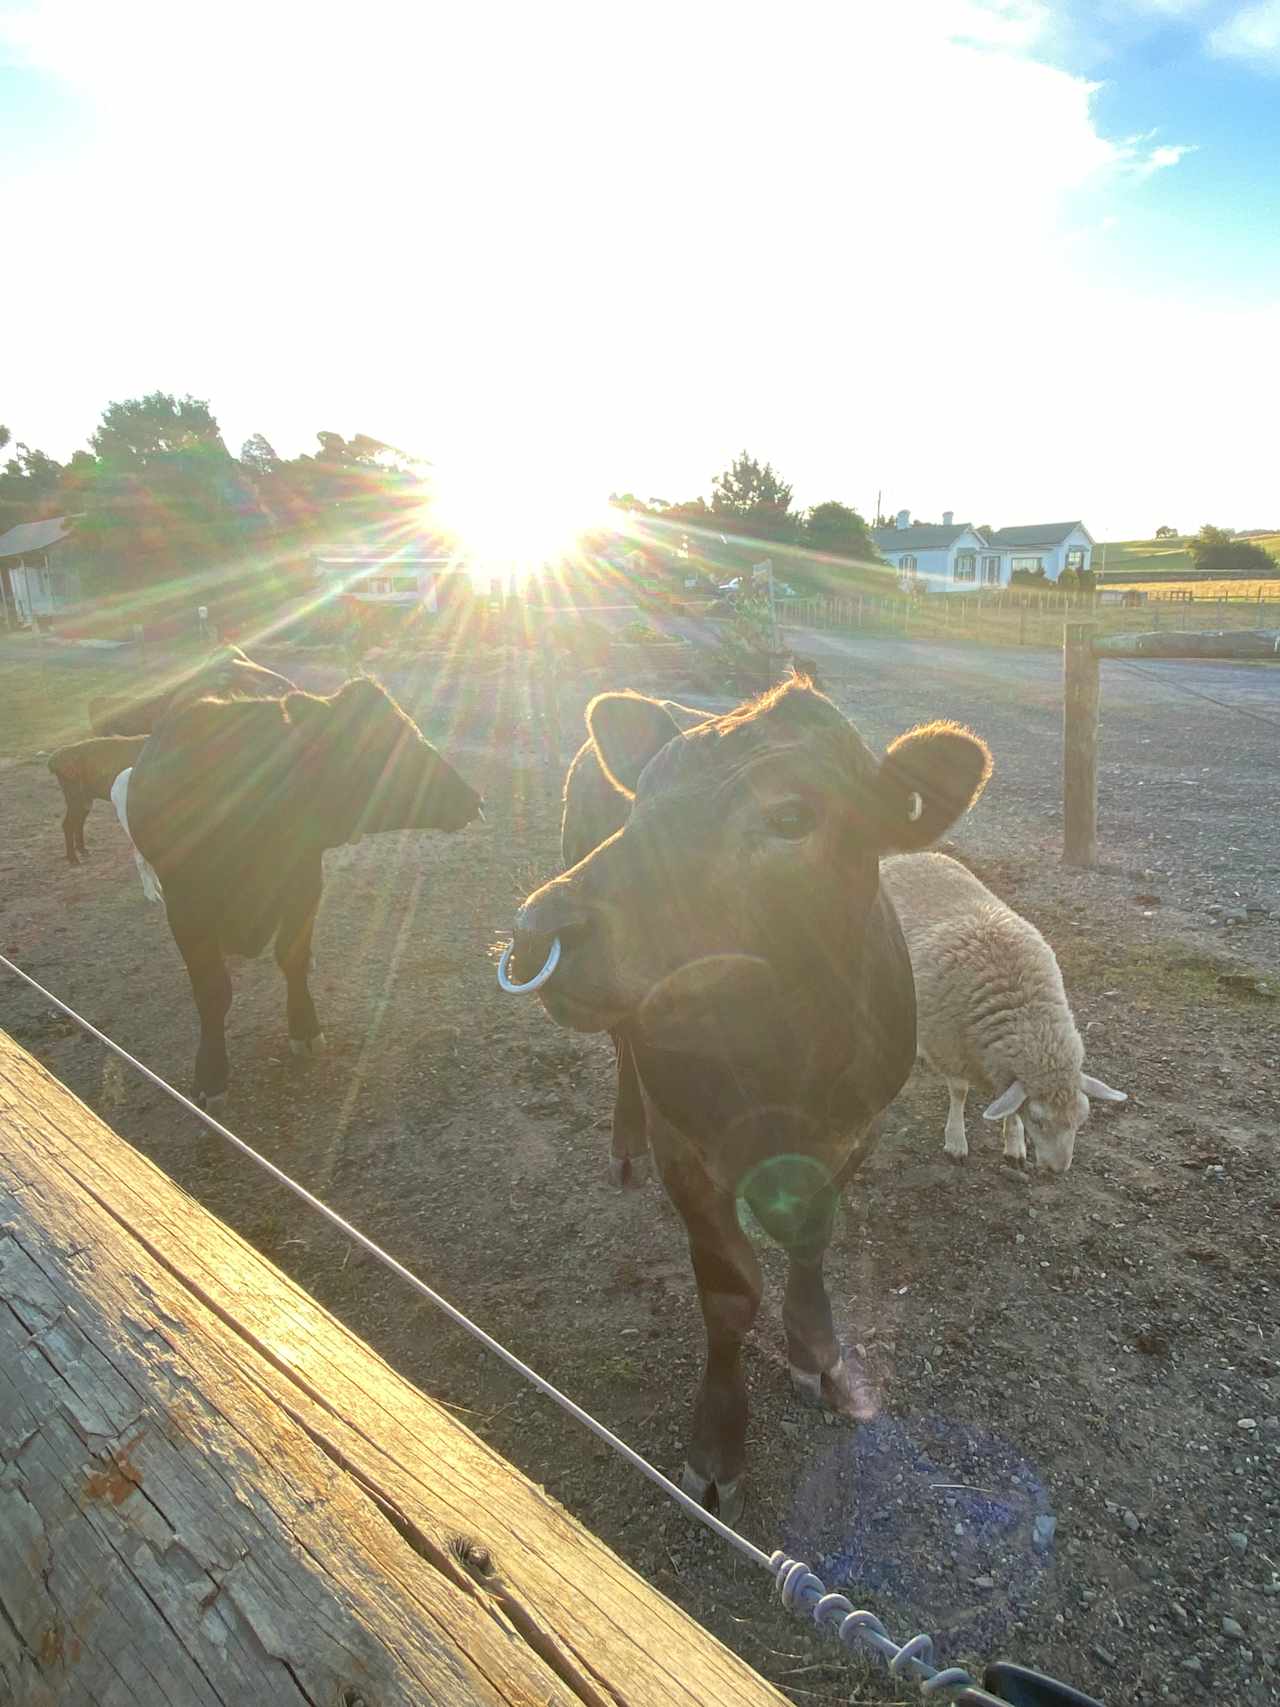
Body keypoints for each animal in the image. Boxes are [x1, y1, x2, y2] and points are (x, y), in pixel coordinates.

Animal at [130, 672, 484, 1099]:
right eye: (380, 750)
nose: (473, 798)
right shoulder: (185, 906)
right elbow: (213, 989)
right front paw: (211, 1071)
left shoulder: (305, 879)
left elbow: (292, 956)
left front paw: (304, 1027)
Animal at [512, 679, 989, 1522]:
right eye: (643, 800)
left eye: (792, 815)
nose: (540, 927)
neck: (783, 1057)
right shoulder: (686, 1146)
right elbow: (730, 1291)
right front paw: (717, 1440)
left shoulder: (854, 1131)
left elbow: (810, 1239)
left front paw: (816, 1350)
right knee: (623, 1050)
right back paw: (623, 1139)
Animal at [887, 853, 1126, 1174]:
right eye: (1038, 1119)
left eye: (1081, 1118)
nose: (1057, 1170)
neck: (1023, 1008)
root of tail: (908, 855)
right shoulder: (950, 1046)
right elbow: (959, 1093)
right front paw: (956, 1141)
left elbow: (1009, 1107)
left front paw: (1014, 1145)